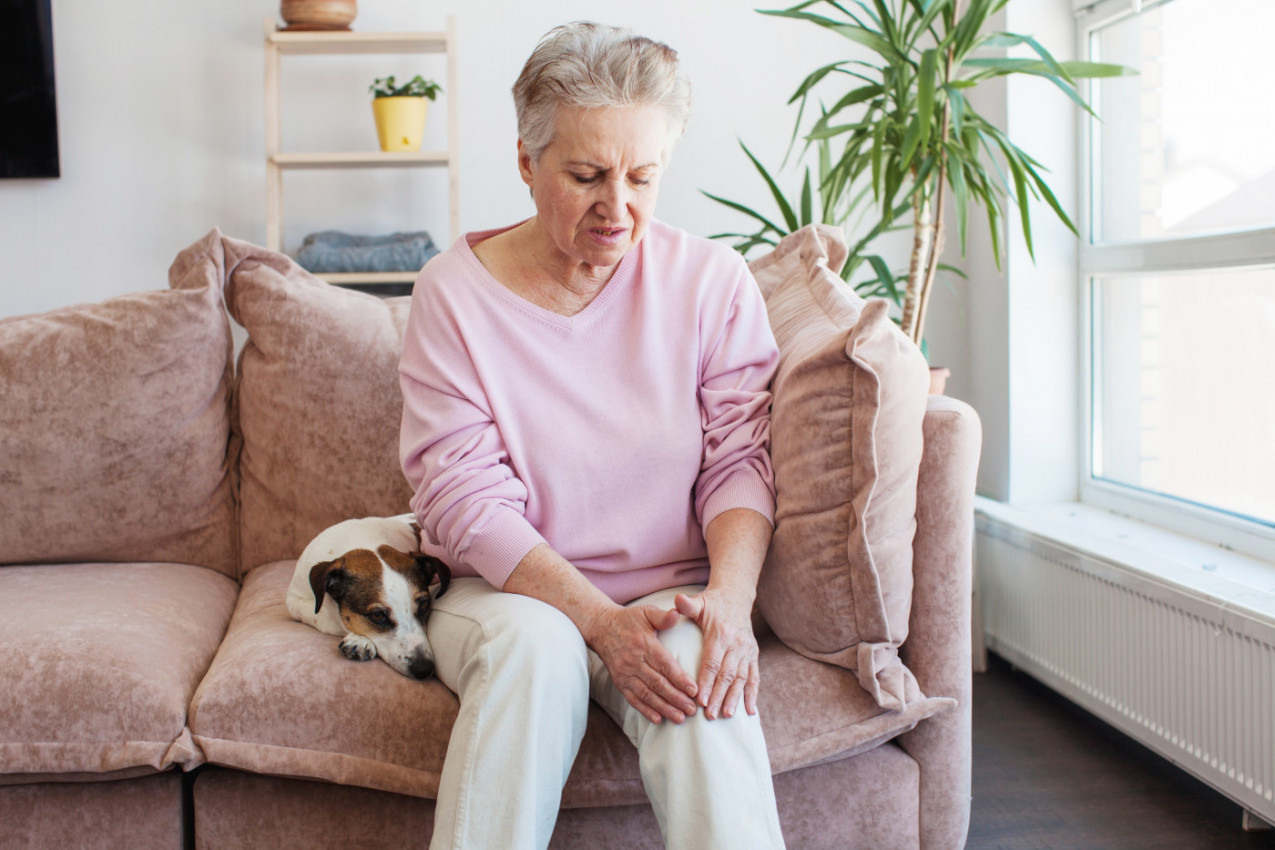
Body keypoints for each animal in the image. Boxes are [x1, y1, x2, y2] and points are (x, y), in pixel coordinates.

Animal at [286, 514, 451, 683]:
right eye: (377, 615)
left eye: (424, 605)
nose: (424, 669)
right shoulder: (294, 600)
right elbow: (326, 616)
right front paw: (358, 639)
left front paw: (358, 640)